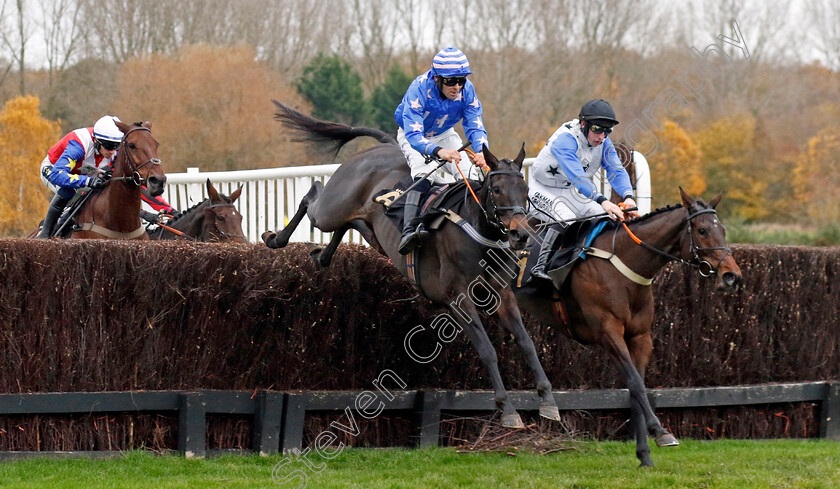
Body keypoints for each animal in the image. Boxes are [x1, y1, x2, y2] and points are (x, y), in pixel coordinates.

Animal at [262, 100, 560, 428]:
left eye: (526, 191)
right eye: (496, 190)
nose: (520, 234)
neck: (478, 232)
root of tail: (382, 147)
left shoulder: (501, 295)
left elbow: (527, 343)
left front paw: (548, 400)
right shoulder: (458, 298)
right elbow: (488, 350)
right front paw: (507, 409)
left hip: (371, 232)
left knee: (347, 223)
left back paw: (322, 256)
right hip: (330, 209)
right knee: (311, 194)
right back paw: (274, 238)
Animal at [516, 188, 744, 466]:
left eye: (722, 229)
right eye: (701, 230)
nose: (731, 276)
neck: (623, 265)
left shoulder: (640, 337)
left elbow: (638, 387)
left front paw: (644, 455)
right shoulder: (608, 332)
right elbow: (635, 383)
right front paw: (661, 432)